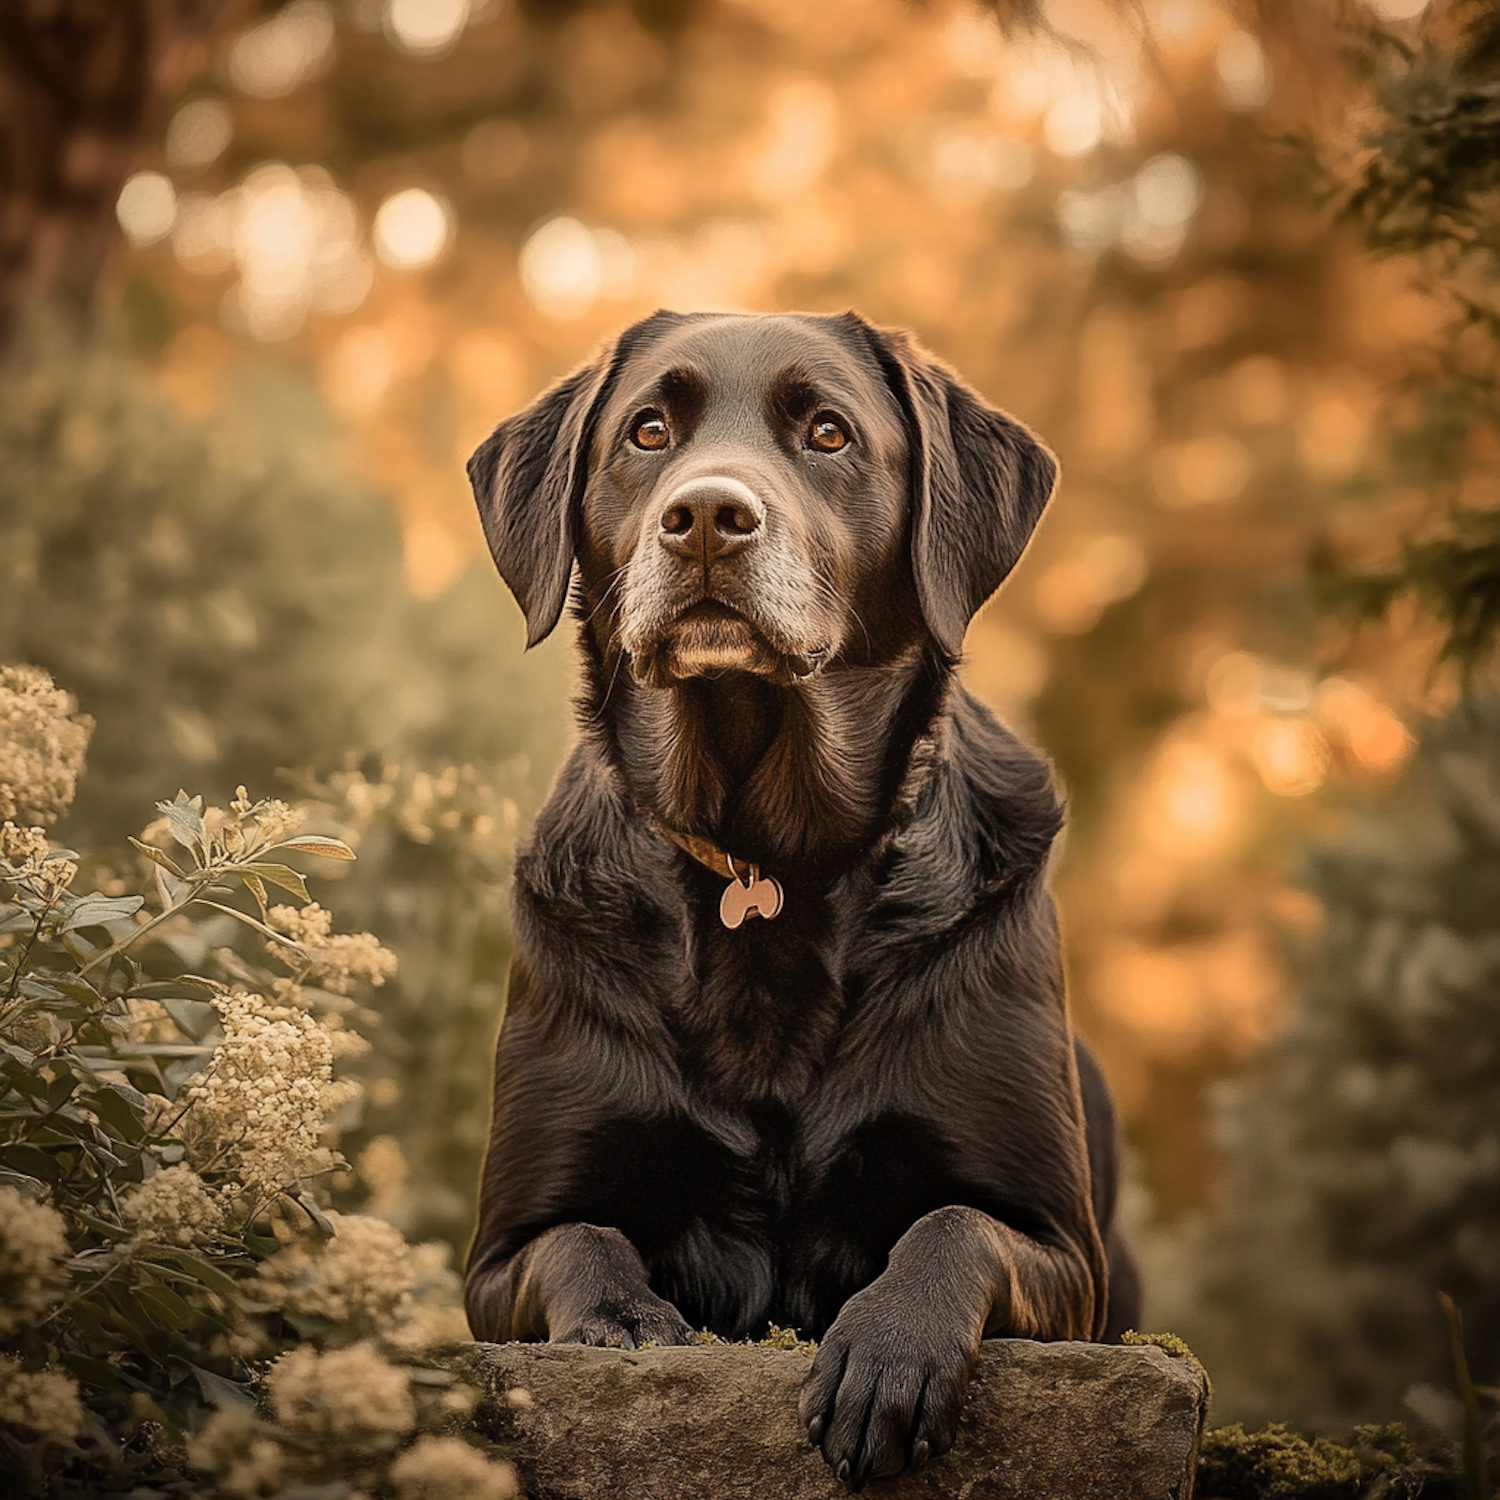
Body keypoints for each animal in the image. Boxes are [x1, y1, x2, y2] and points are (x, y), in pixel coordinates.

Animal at [462, 313, 1140, 1488]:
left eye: (828, 432)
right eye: (648, 431)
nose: (705, 518)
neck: (767, 858)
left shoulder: (1064, 1253)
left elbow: (951, 1223)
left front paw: (887, 1349)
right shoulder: (496, 1256)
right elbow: (578, 1240)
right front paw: (625, 1323)